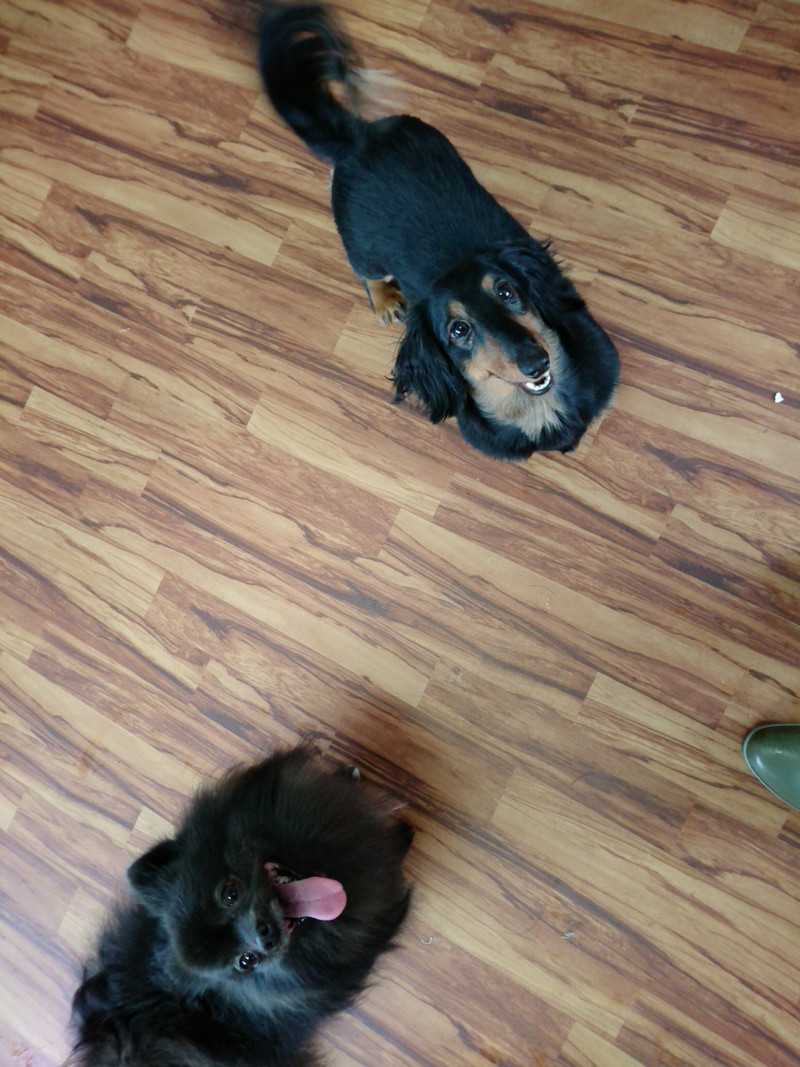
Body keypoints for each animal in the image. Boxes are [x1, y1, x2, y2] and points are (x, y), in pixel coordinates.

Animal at [257, 3, 620, 460]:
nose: (536, 362)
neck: (539, 407)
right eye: (458, 330)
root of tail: (358, 137)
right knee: (366, 271)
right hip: (362, 249)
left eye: (507, 291)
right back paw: (384, 299)